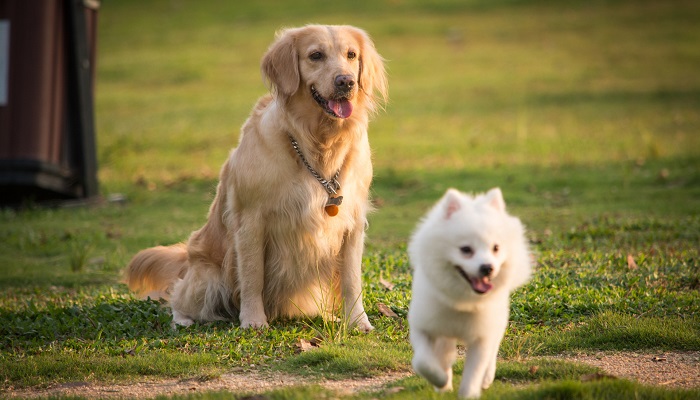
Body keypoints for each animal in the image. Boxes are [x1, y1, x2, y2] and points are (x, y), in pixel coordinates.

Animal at [404, 188, 532, 400]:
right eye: (466, 249)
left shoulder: (481, 337)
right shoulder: (424, 327)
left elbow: (474, 372)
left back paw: (487, 378)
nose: (488, 267)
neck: (462, 302)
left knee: (492, 351)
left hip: (497, 322)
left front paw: (469, 391)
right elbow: (423, 362)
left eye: (496, 248)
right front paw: (440, 380)